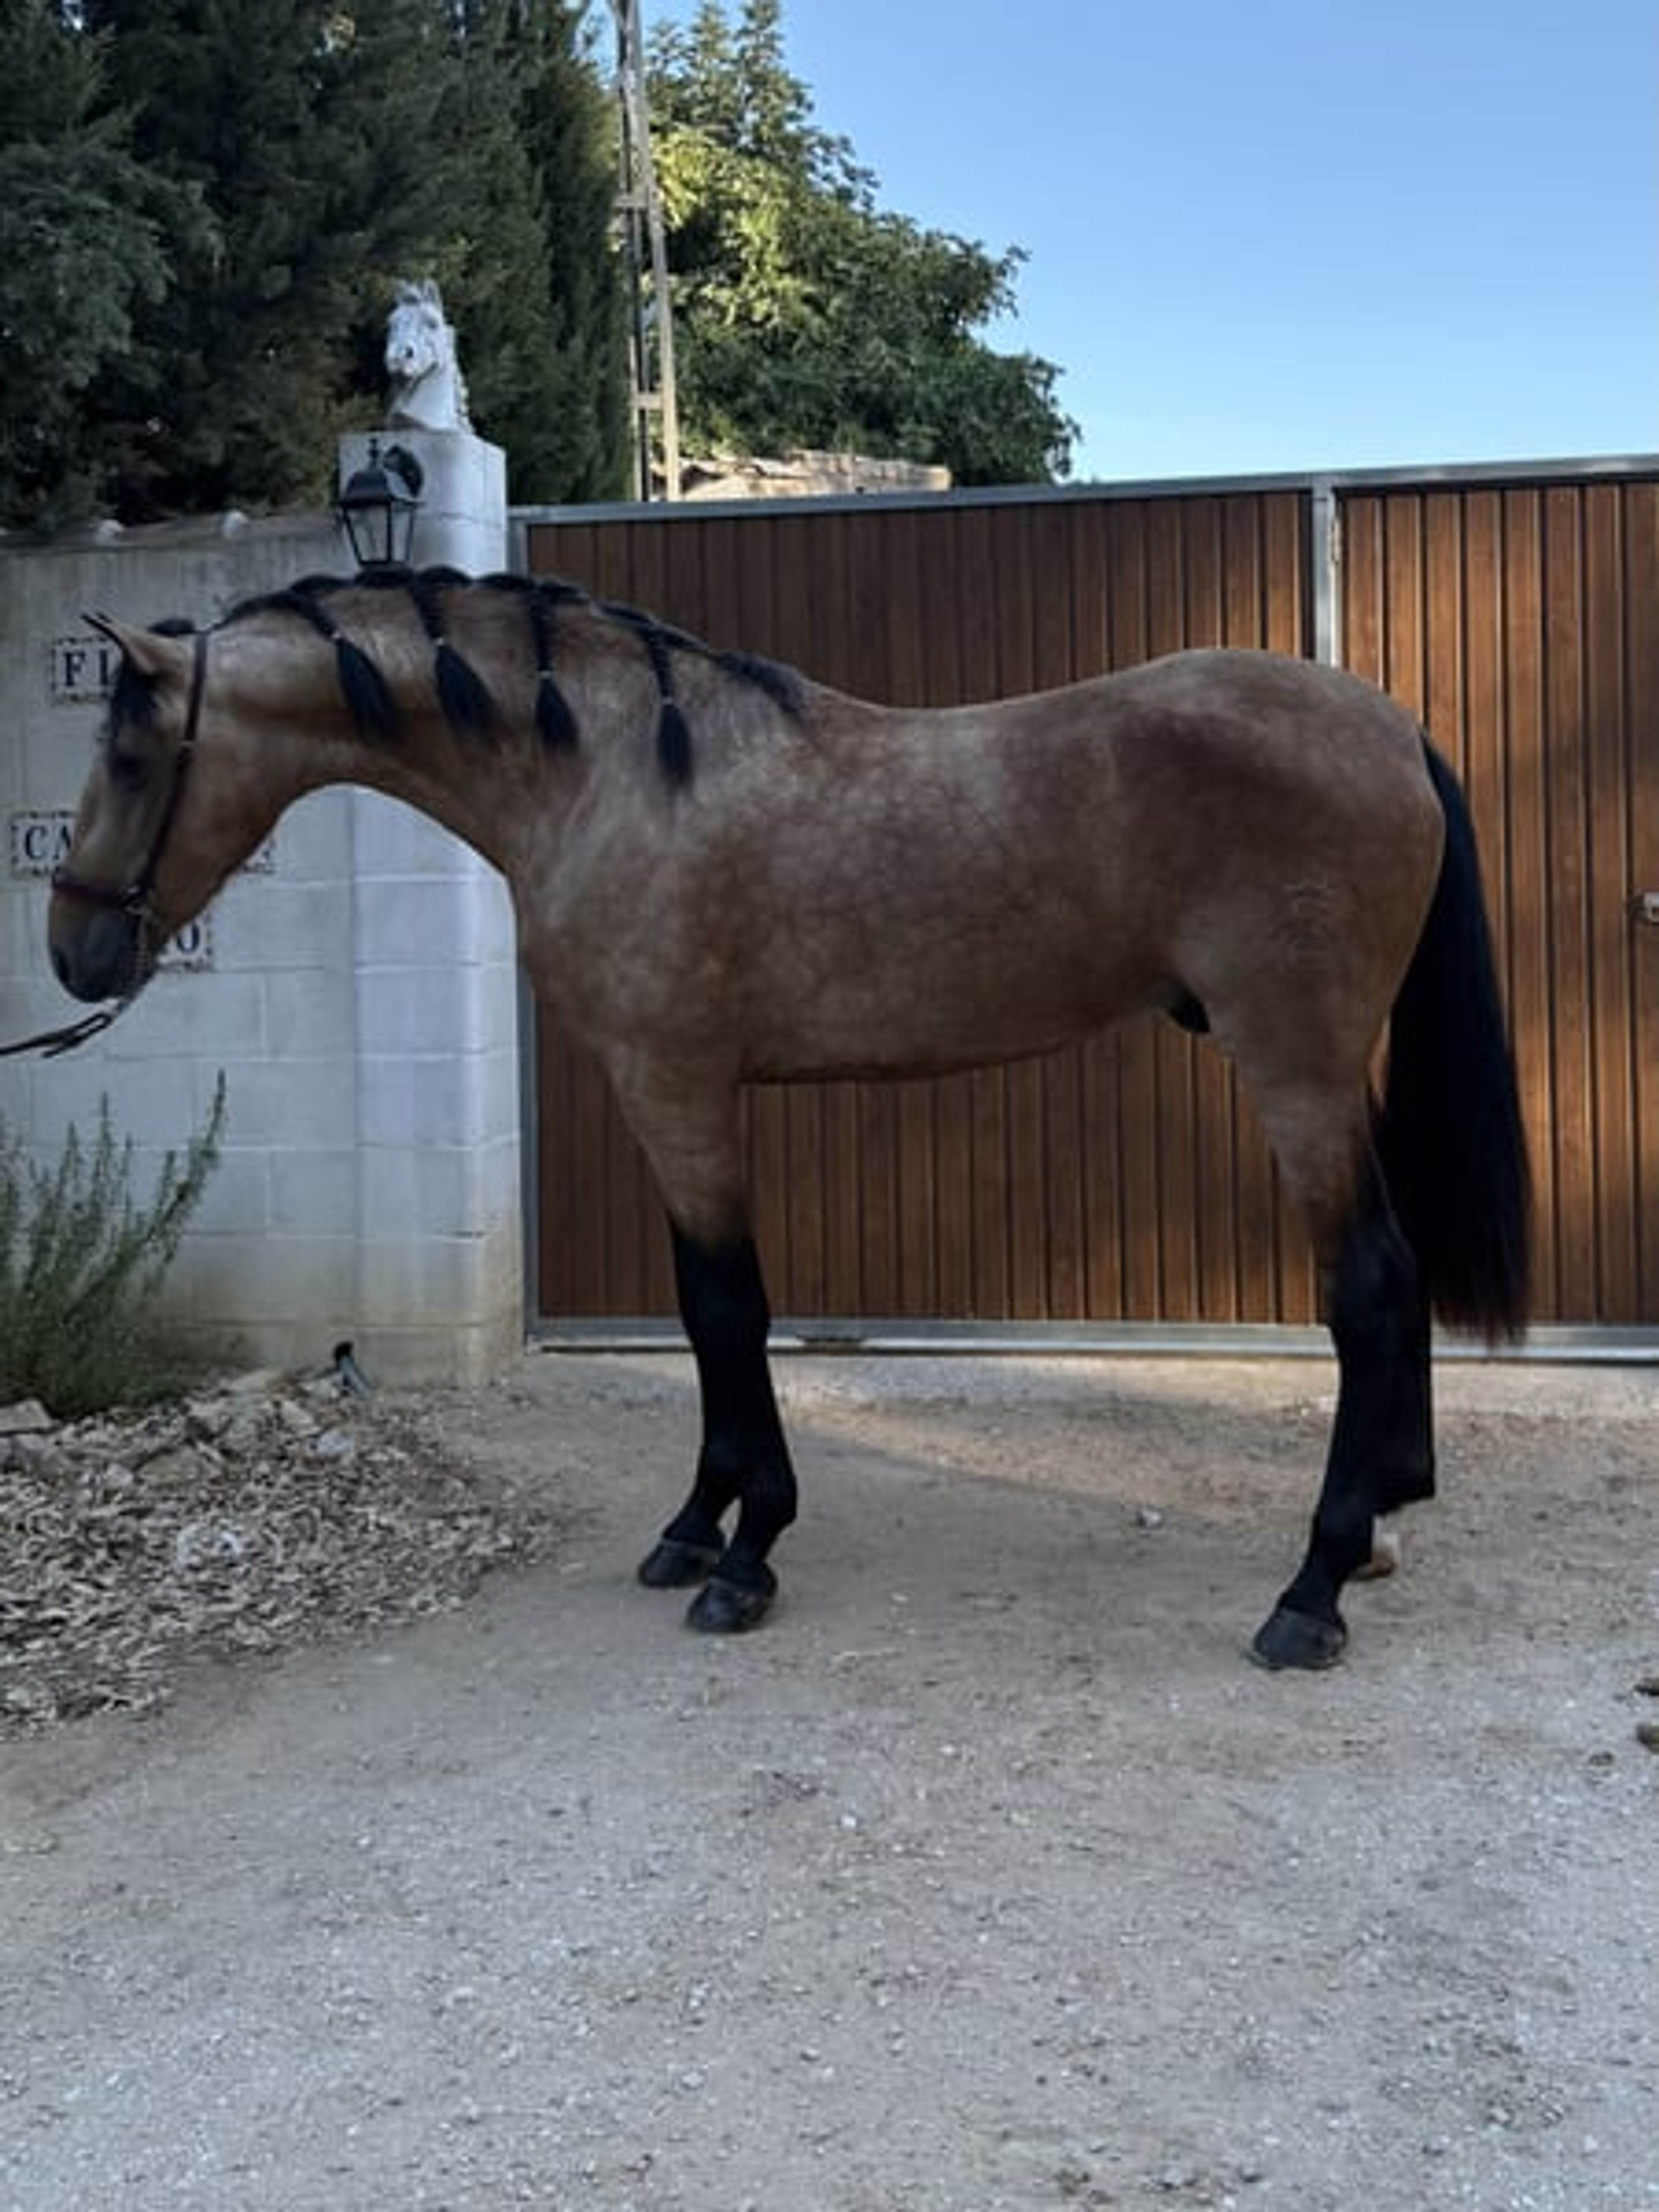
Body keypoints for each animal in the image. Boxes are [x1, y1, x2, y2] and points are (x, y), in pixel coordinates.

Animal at [46, 566, 1531, 1671]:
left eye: (132, 752)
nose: (74, 952)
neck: (611, 772)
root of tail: (1391, 729)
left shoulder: (677, 1086)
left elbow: (724, 1307)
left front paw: (745, 1552)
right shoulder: (669, 1098)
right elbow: (705, 1310)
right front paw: (697, 1526)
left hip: (1294, 1066)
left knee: (1367, 1284)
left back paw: (1312, 1586)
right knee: (1394, 1277)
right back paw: (1385, 1513)